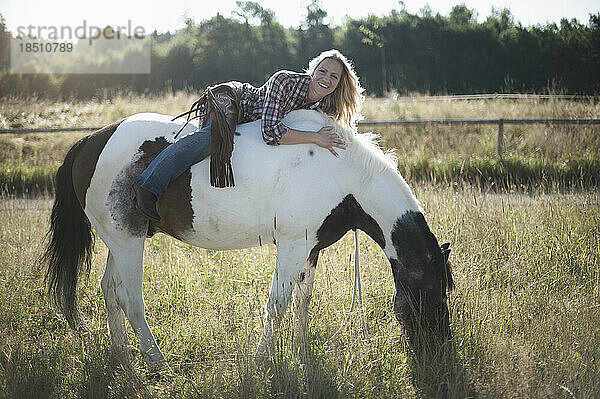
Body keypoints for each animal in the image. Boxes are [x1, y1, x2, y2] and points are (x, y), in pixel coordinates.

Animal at [43, 109, 454, 368]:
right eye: (434, 293)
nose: (441, 351)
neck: (340, 172)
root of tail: (91, 142)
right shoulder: (292, 247)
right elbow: (278, 305)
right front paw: (261, 361)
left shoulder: (309, 249)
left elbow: (302, 302)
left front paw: (303, 354)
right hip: (128, 243)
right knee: (130, 298)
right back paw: (156, 362)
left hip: (121, 241)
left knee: (109, 290)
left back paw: (124, 359)